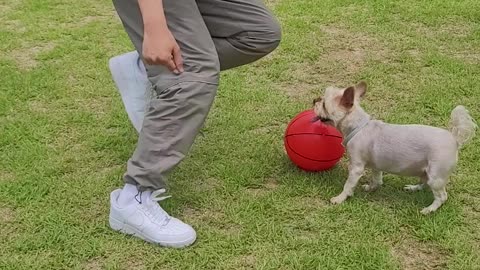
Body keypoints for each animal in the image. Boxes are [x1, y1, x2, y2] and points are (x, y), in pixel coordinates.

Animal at [312, 81, 476, 214]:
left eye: (324, 105)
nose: (315, 100)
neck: (358, 127)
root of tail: (454, 139)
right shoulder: (376, 166)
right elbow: (377, 180)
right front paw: (371, 188)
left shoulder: (356, 168)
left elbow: (348, 186)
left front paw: (339, 198)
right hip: (426, 172)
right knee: (424, 183)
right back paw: (413, 188)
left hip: (436, 176)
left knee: (442, 196)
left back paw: (429, 209)